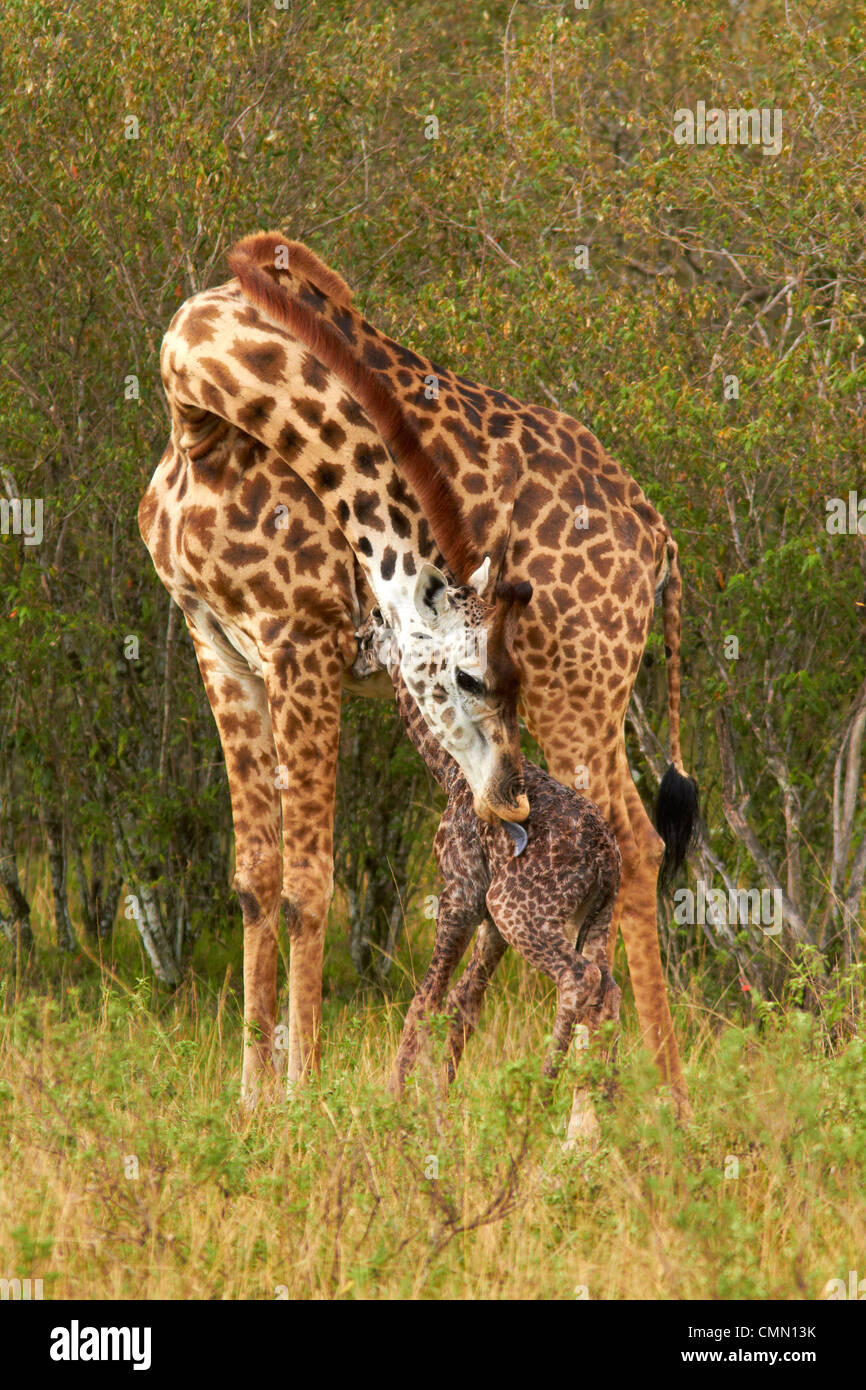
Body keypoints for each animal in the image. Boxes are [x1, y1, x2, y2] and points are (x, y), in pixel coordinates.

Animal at [353, 581, 622, 1123]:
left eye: (373, 622)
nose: (353, 654)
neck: (451, 772)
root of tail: (607, 861)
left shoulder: (460, 894)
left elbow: (425, 1002)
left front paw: (394, 1105)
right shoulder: (491, 925)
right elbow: (465, 1005)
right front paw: (442, 1101)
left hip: (521, 910)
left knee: (580, 979)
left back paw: (540, 1103)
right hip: (594, 918)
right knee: (609, 990)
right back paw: (594, 1119)